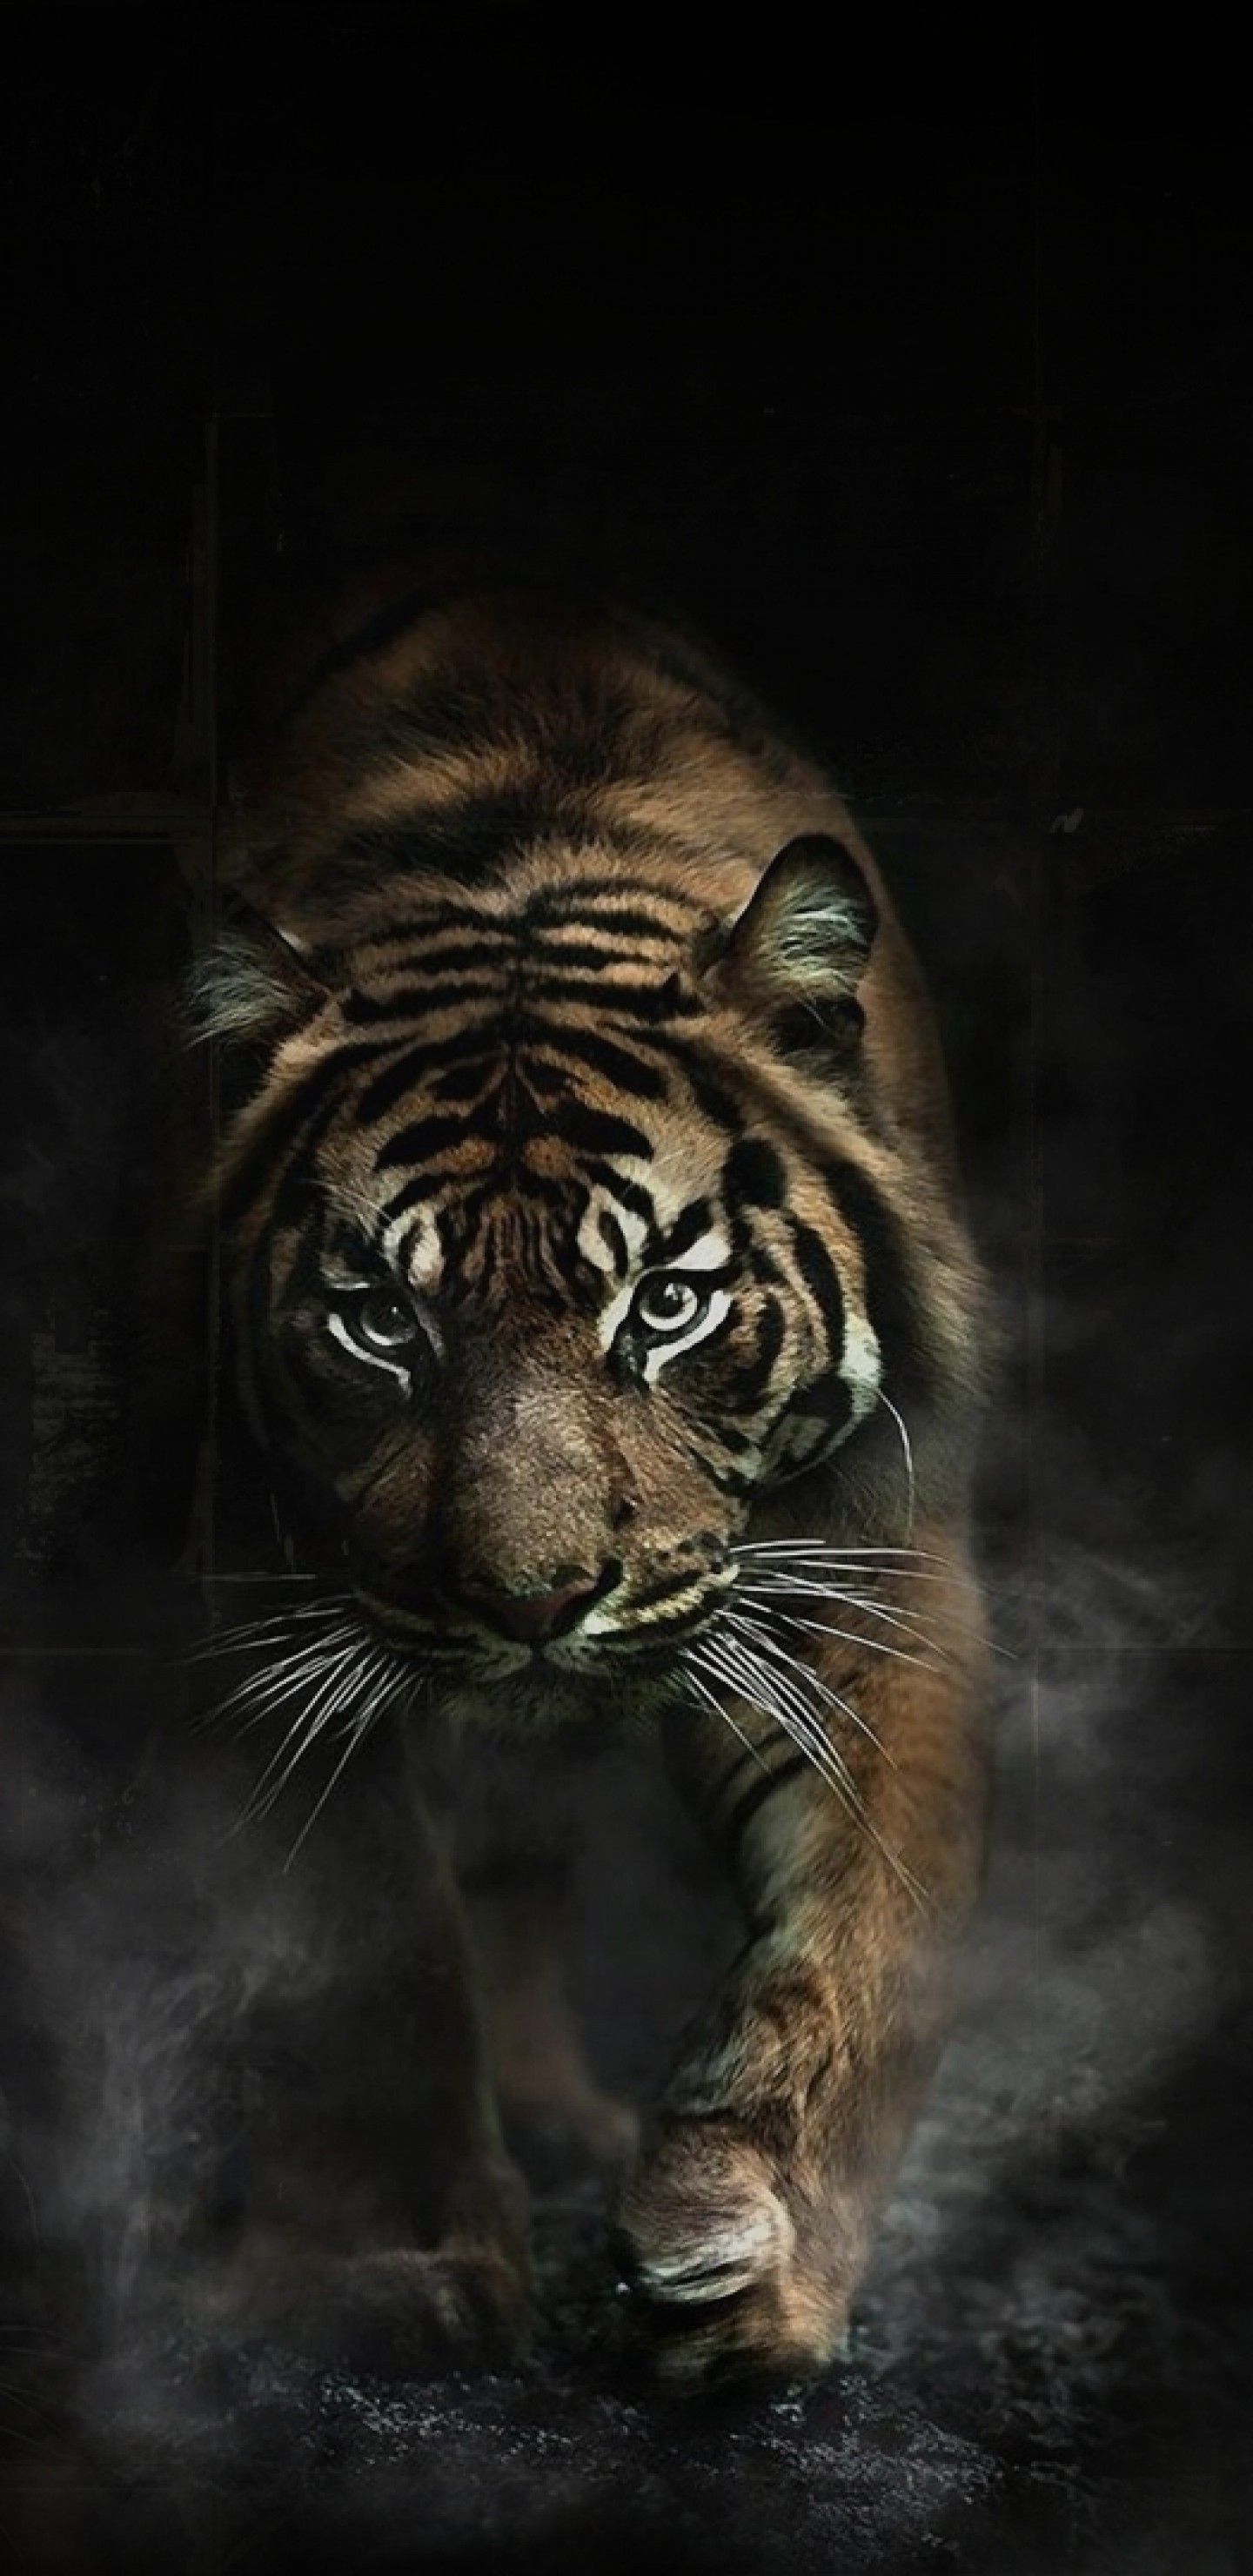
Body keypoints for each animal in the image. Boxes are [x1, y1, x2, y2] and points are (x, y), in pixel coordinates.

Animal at [184, 564, 991, 2389]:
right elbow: (379, 1951)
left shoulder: (870, 1564)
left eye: (666, 1305)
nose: (536, 1600)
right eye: (381, 1321)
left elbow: (871, 1928)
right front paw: (410, 2269)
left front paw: (750, 2255)